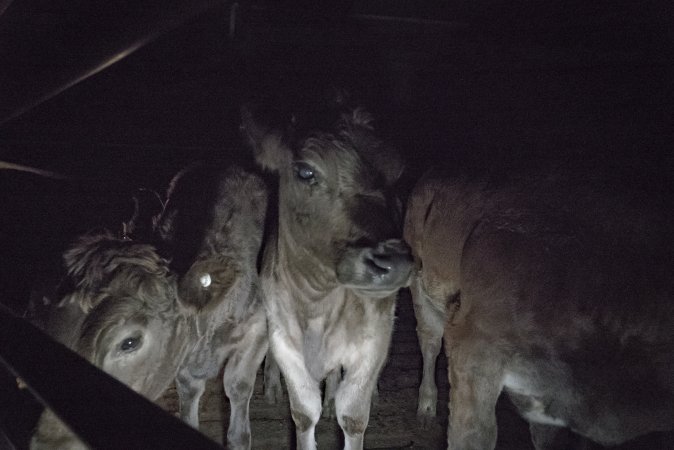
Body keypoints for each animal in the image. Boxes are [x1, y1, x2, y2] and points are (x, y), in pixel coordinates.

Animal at [239, 102, 412, 450]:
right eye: (305, 172)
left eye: (397, 171)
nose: (394, 261)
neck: (319, 302)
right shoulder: (283, 338)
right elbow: (305, 412)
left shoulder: (374, 339)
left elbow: (353, 416)